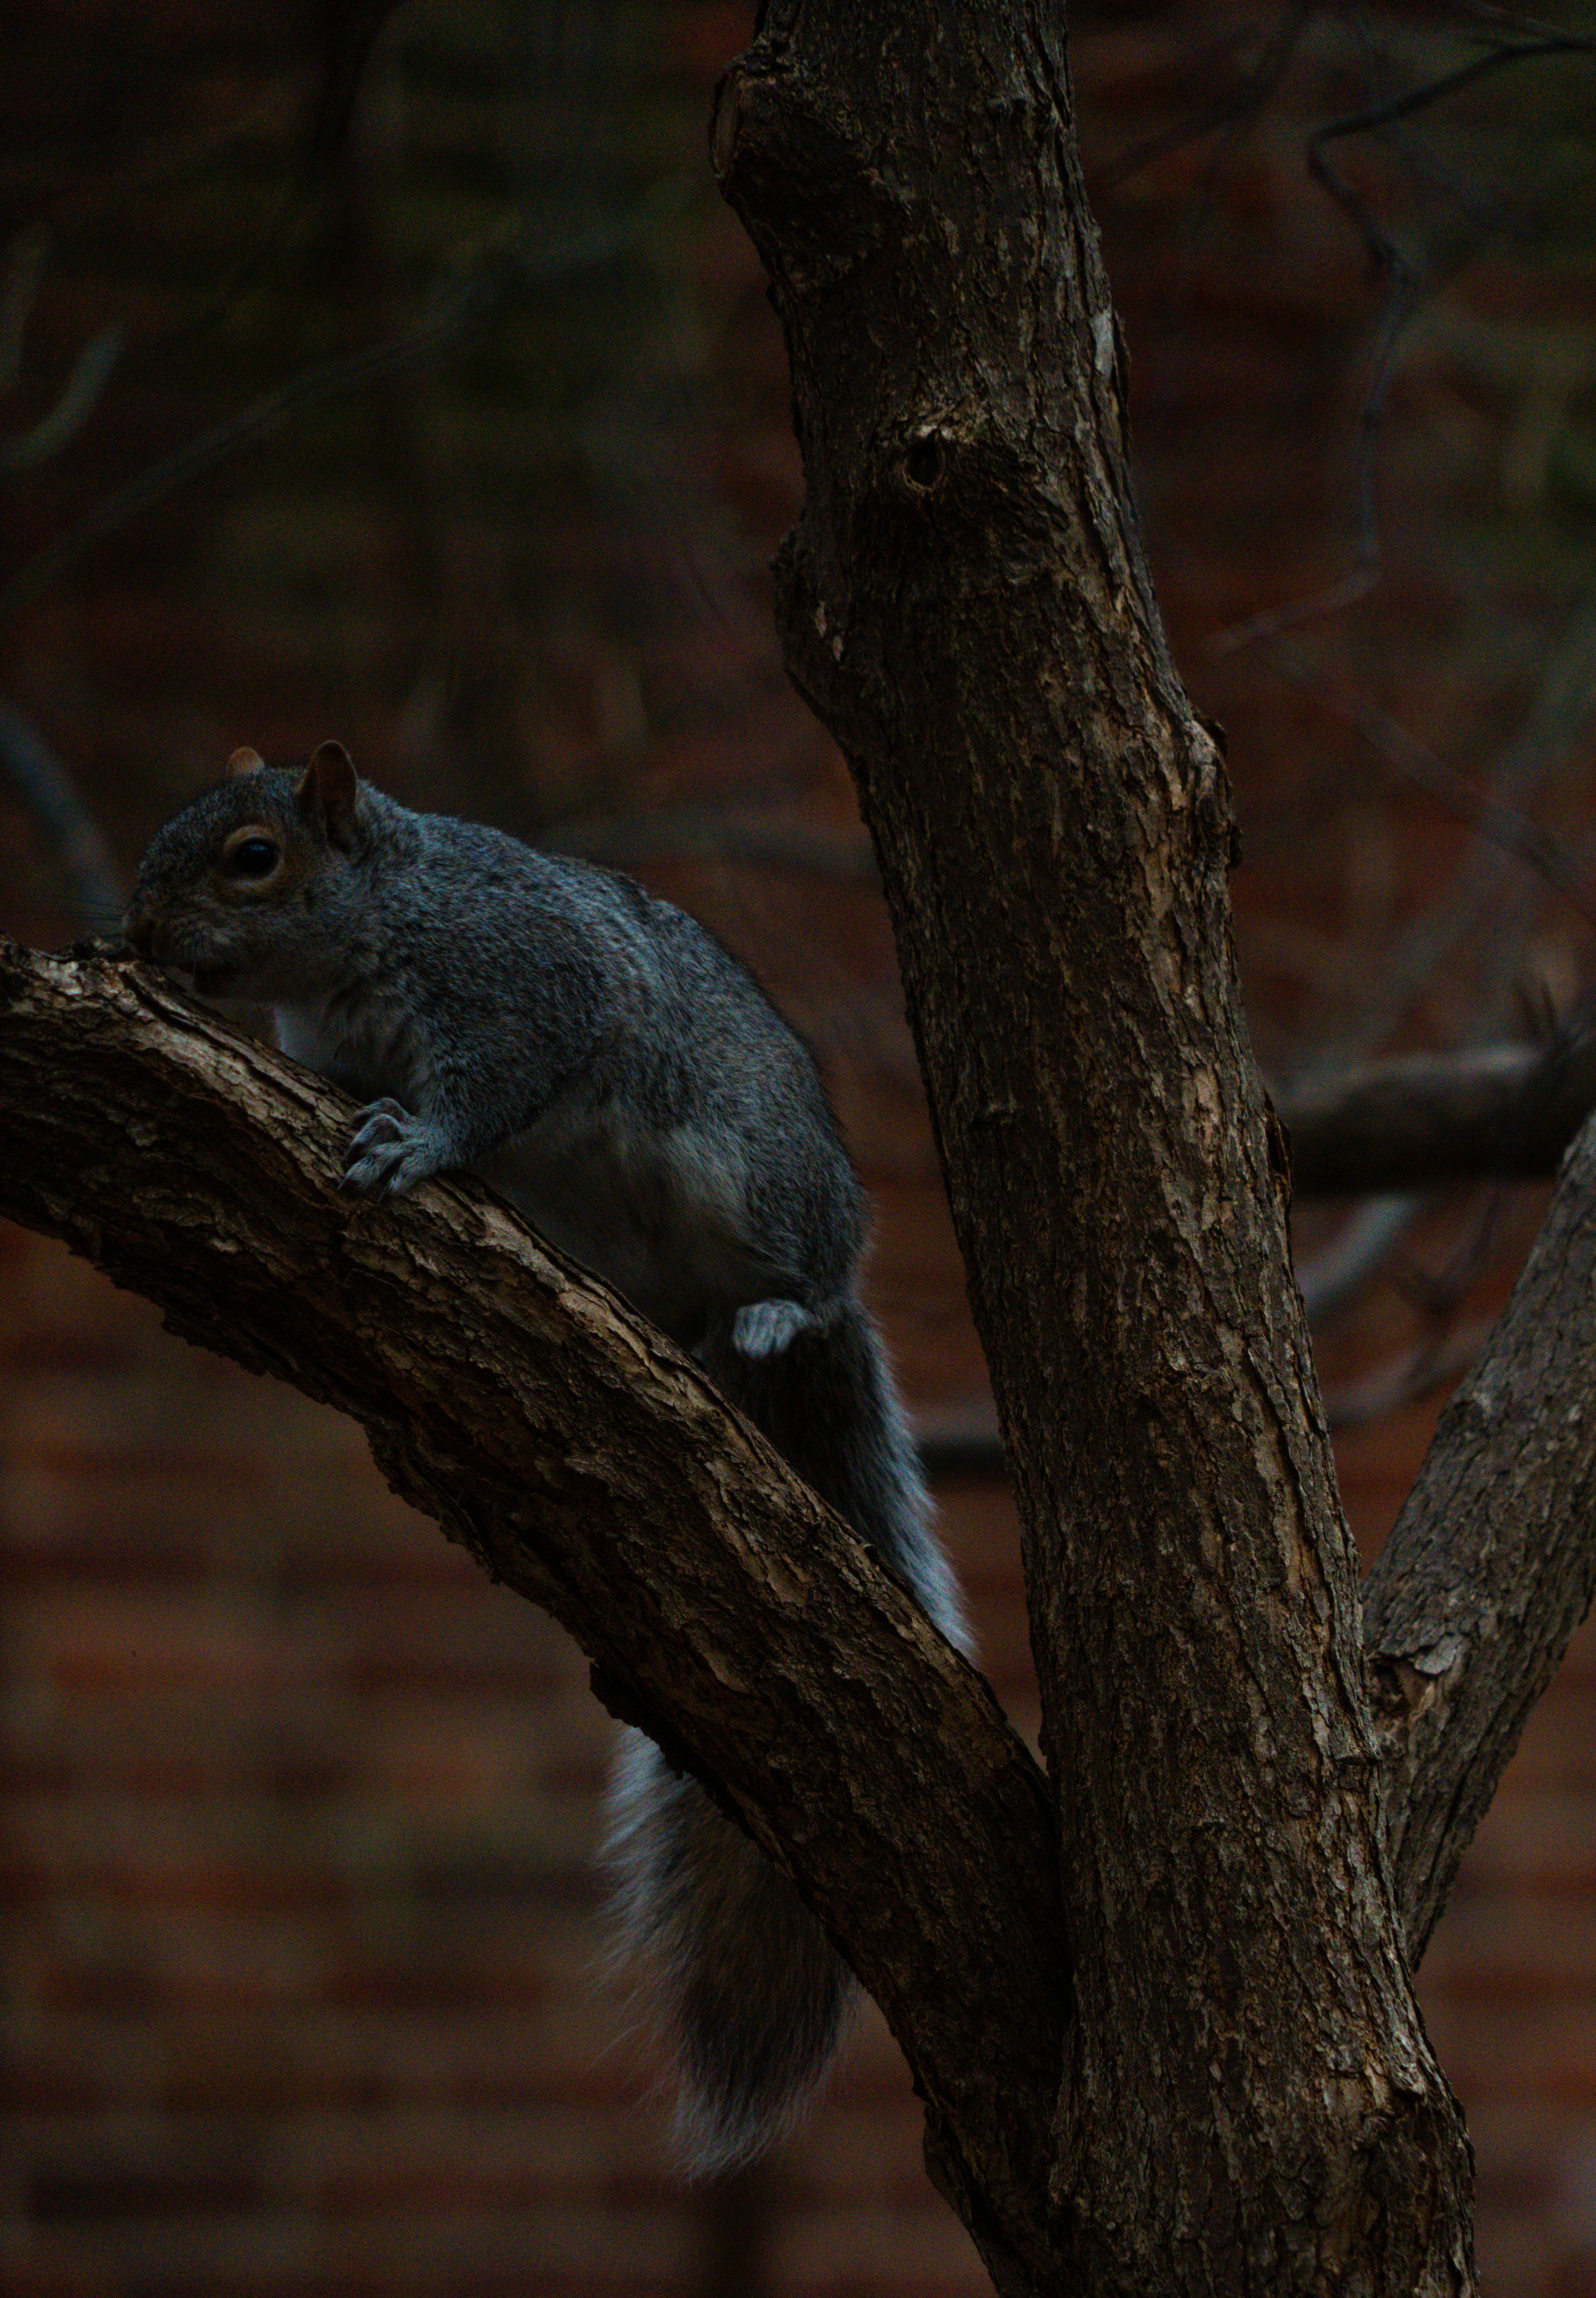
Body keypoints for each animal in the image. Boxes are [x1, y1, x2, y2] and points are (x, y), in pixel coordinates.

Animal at [124, 739, 971, 2173]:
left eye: (252, 857)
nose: (135, 933)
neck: (382, 919)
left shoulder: (524, 992)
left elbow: (491, 1094)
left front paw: (417, 1145)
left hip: (758, 1176)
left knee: (811, 1286)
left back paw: (772, 1312)